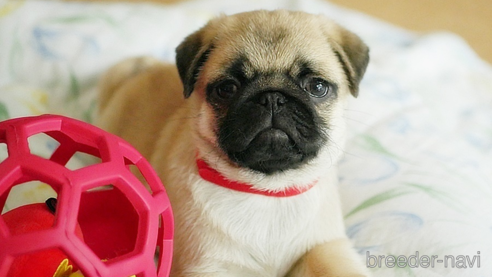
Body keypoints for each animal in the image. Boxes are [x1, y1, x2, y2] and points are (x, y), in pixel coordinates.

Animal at [98, 9, 368, 274]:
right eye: (227, 88)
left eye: (317, 87)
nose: (272, 97)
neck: (266, 189)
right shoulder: (208, 265)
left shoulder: (325, 248)